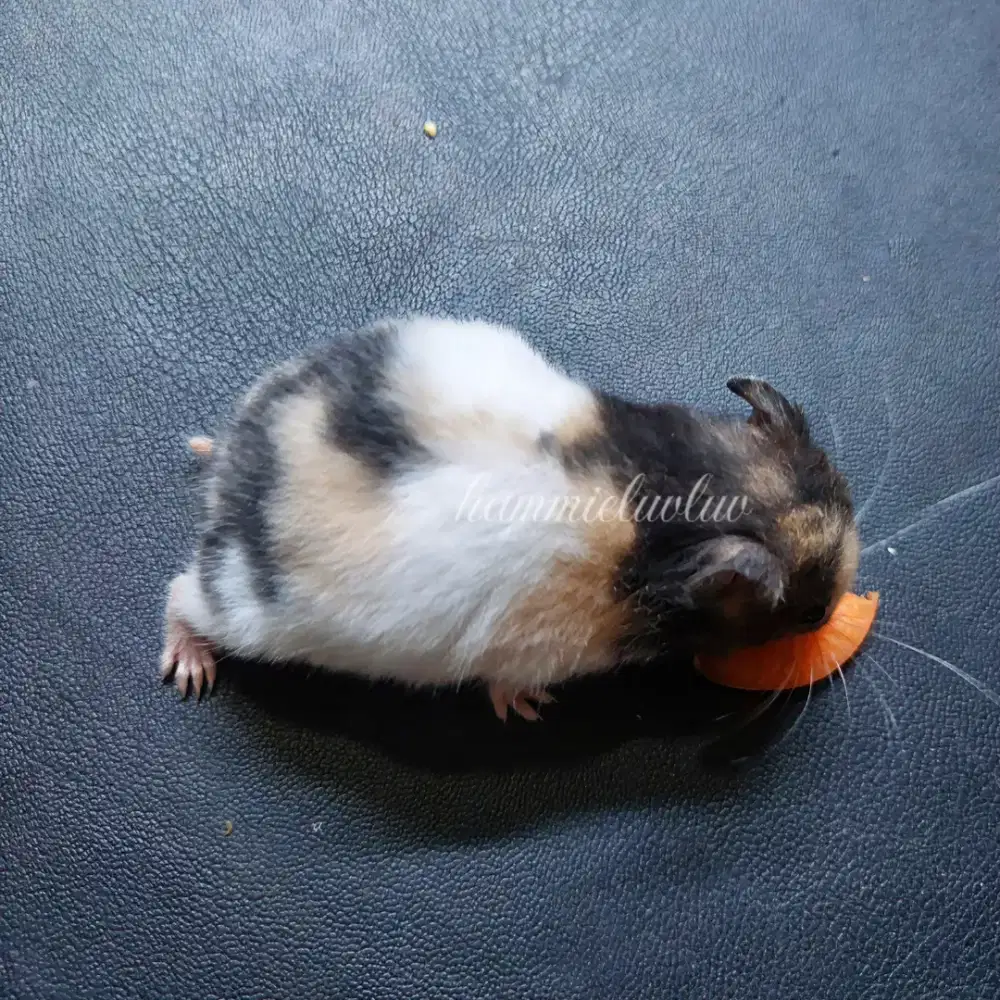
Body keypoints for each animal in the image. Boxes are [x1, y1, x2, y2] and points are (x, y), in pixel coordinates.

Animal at [161, 317, 859, 721]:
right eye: (809, 614)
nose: (835, 612)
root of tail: (232, 482)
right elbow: (508, 684)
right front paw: (530, 709)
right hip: (249, 613)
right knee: (177, 593)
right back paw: (190, 674)